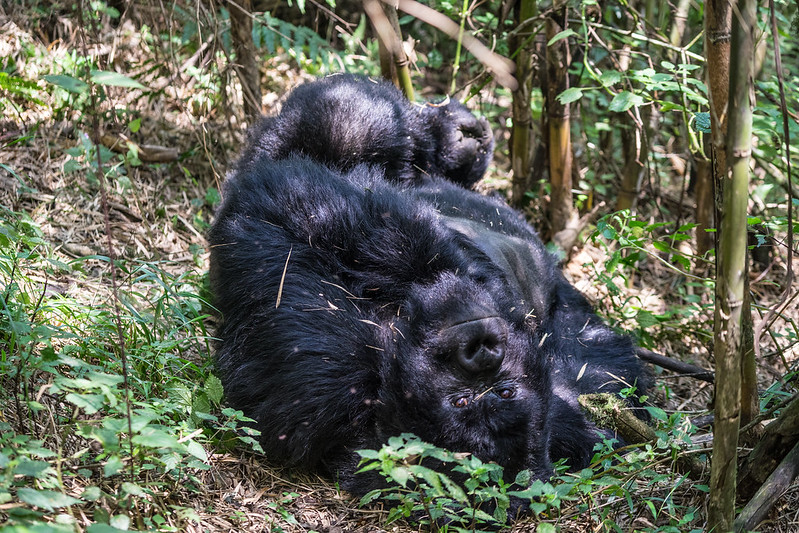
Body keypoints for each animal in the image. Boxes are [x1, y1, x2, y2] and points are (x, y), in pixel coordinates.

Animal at [208, 72, 648, 504]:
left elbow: (295, 209)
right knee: (353, 119)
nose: (481, 349)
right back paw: (451, 135)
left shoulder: (324, 385)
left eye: (498, 393)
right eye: (470, 398)